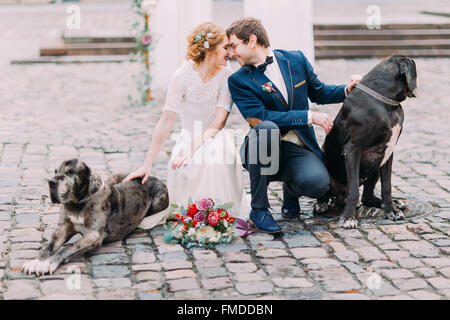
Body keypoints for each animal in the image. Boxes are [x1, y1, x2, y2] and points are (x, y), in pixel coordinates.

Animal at [22, 159, 169, 276]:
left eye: (70, 172)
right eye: (55, 171)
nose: (51, 182)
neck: (78, 204)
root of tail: (151, 176)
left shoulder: (94, 235)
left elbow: (69, 247)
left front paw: (49, 263)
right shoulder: (63, 228)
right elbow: (49, 246)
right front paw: (37, 261)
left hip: (159, 199)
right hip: (114, 176)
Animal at [316, 56, 418, 229]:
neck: (386, 102)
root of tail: (339, 195)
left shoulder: (388, 152)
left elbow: (387, 186)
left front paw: (392, 210)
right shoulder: (352, 150)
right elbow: (354, 190)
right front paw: (348, 218)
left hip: (375, 164)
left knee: (367, 197)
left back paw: (396, 203)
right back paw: (321, 203)